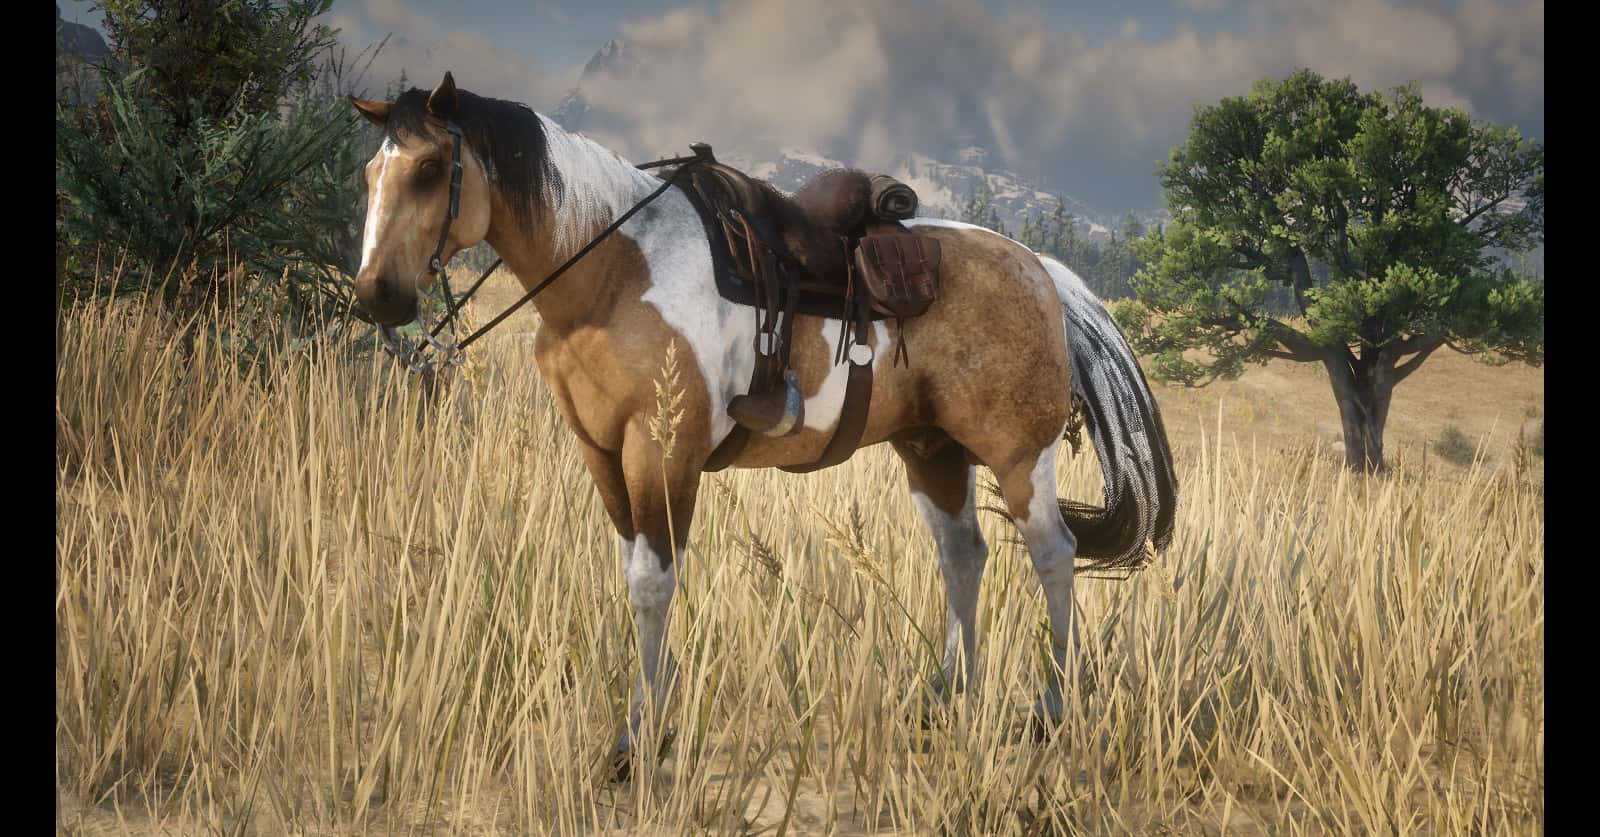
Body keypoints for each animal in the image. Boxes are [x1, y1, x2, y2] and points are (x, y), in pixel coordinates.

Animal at [349, 72, 1178, 775]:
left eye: (431, 169)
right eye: (369, 176)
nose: (378, 295)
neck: (612, 275)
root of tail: (1040, 269)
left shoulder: (662, 450)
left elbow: (653, 582)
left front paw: (637, 742)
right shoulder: (602, 451)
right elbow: (635, 572)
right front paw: (652, 724)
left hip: (1017, 453)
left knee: (1052, 555)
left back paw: (1052, 709)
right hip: (931, 450)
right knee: (963, 555)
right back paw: (945, 702)